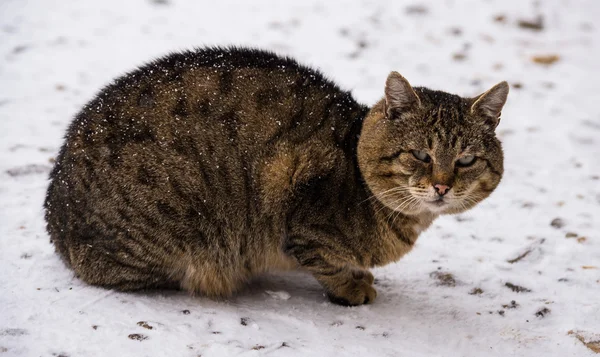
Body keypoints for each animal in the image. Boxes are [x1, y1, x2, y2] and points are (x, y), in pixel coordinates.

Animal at [44, 46, 508, 304]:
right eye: (420, 155)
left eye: (466, 160)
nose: (442, 185)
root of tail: (55, 212)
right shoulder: (302, 219)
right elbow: (326, 263)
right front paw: (352, 286)